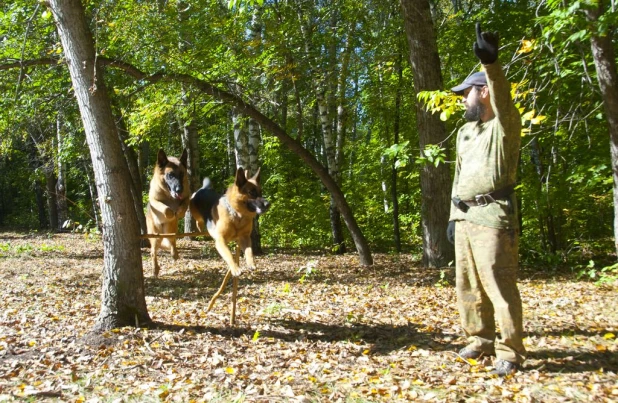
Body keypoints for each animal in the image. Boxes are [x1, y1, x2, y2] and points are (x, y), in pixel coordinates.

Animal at [146, 148, 189, 278]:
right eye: (170, 175)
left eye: (182, 174)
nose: (179, 190)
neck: (169, 196)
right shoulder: (154, 200)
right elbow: (165, 208)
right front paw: (170, 213)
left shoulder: (187, 197)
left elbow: (184, 205)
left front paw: (179, 212)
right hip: (155, 237)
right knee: (153, 253)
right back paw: (155, 269)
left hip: (172, 231)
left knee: (172, 242)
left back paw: (174, 253)